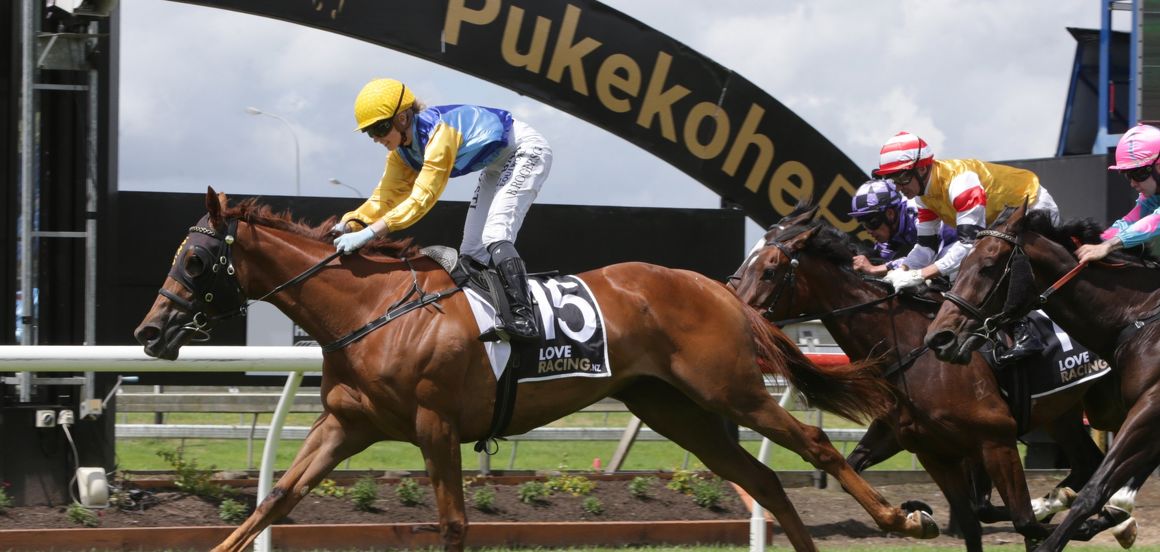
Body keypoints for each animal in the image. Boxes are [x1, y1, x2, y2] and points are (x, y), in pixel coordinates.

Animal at [133, 190, 941, 552]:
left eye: (196, 260)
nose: (148, 334)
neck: (376, 310)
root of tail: (721, 289)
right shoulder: (345, 426)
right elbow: (272, 503)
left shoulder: (435, 426)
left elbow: (454, 522)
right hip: (671, 407)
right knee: (765, 478)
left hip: (730, 388)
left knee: (817, 447)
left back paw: (899, 516)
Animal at [733, 207, 1132, 552]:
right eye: (745, 265)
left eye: (769, 270)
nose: (736, 310)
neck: (909, 349)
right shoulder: (925, 446)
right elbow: (971, 520)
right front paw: (916, 511)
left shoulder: (996, 439)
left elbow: (1021, 519)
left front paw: (1103, 520)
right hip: (1063, 415)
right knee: (1086, 463)